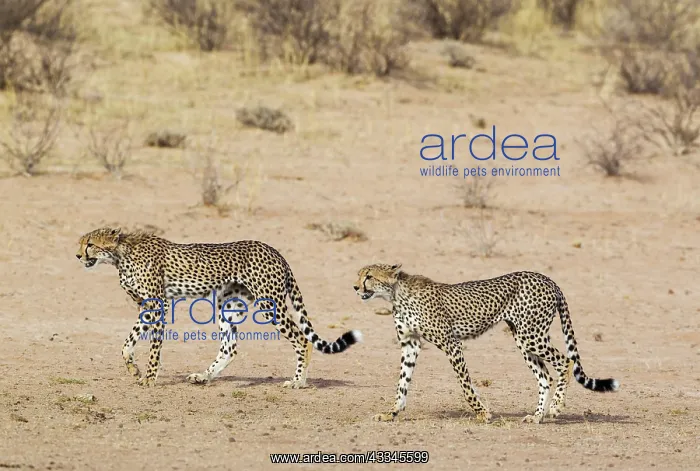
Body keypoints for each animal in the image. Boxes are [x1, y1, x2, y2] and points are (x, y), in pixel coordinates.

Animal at [75, 227, 362, 388]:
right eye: (81, 243)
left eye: (90, 244)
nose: (77, 255)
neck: (121, 255)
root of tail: (275, 251)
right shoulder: (145, 306)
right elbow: (127, 343)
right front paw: (133, 369)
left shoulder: (159, 304)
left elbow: (154, 347)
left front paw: (149, 377)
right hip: (228, 305)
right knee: (230, 347)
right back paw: (204, 377)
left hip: (270, 304)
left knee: (302, 339)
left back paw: (298, 381)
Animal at [353, 263, 619, 424]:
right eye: (359, 274)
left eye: (369, 276)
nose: (355, 287)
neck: (397, 295)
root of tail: (547, 279)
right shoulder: (410, 345)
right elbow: (402, 383)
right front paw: (391, 412)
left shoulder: (451, 343)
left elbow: (465, 384)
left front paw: (482, 413)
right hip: (522, 339)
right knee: (545, 376)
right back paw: (537, 416)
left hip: (531, 335)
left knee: (565, 361)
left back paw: (555, 408)